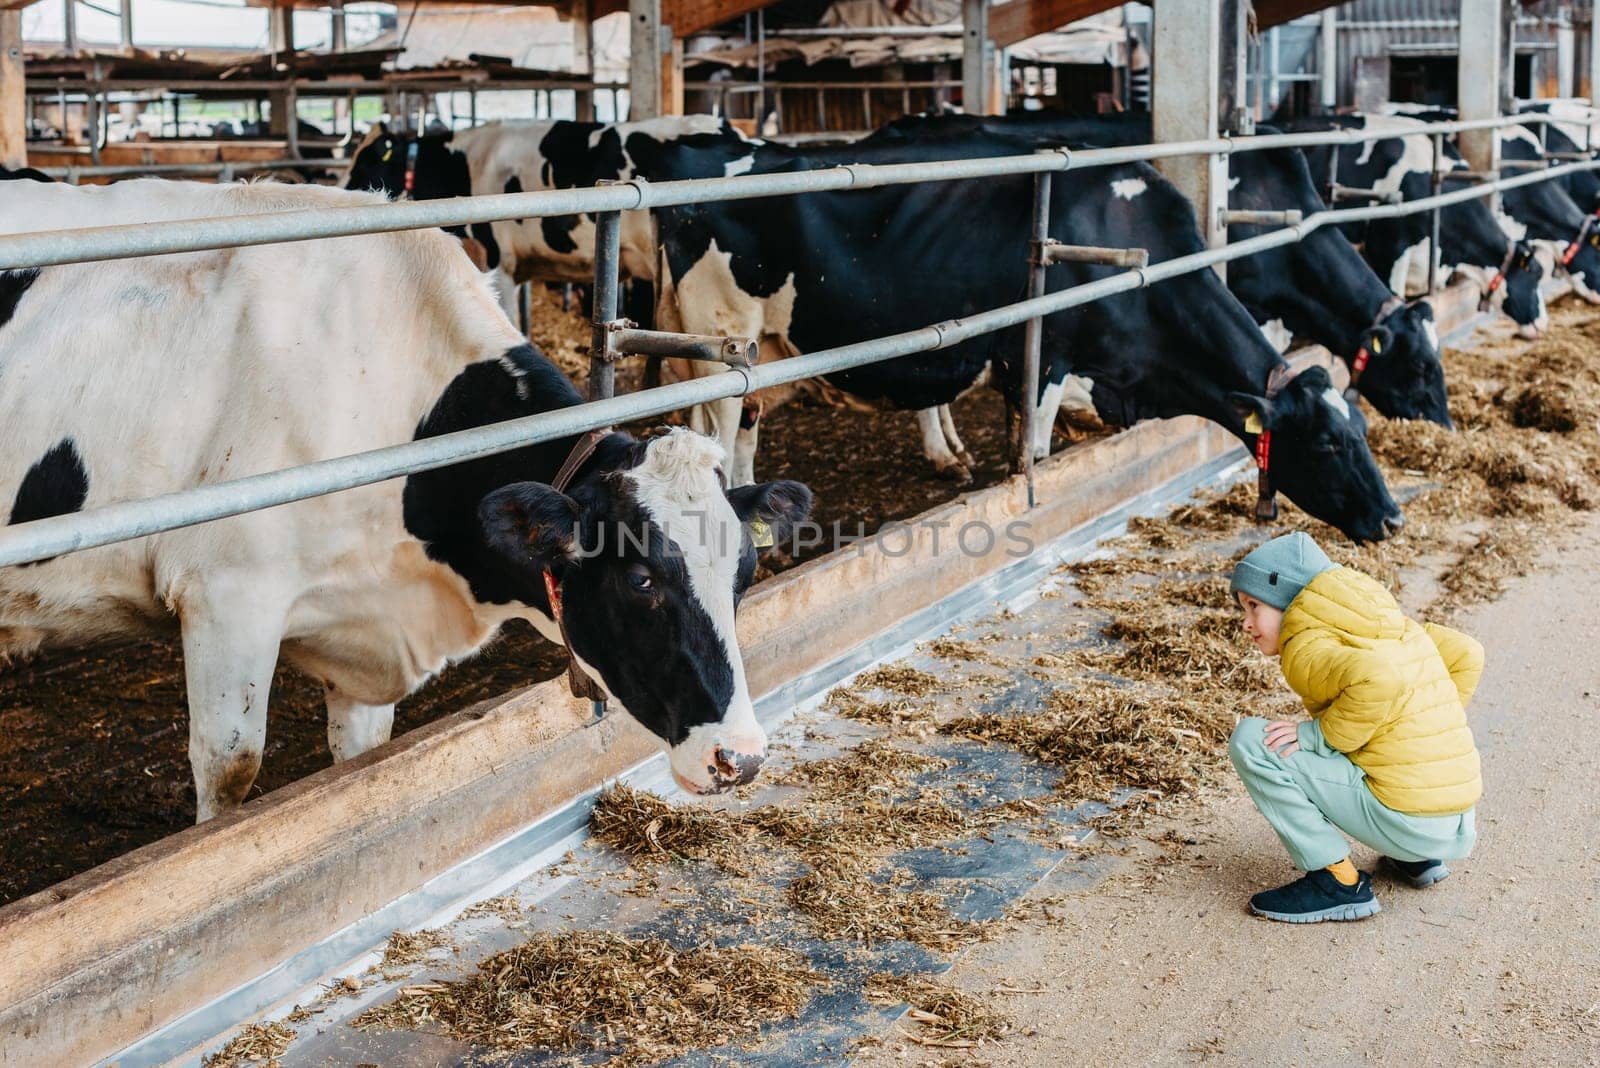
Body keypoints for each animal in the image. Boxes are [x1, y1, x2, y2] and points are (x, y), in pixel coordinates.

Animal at [0, 177, 806, 818]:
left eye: (744, 575)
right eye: (641, 580)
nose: (742, 758)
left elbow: (360, 759)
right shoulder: (227, 595)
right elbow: (230, 775)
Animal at [649, 133, 1401, 546]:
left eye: (1362, 429)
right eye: (1328, 443)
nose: (1393, 518)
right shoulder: (1041, 359)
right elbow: (1034, 450)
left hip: (756, 350)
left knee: (739, 438)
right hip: (724, 341)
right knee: (720, 438)